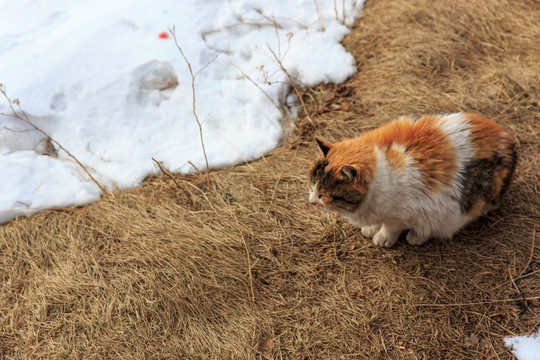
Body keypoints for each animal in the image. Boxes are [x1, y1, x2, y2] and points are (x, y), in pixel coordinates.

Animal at [308, 113, 516, 248]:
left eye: (323, 195)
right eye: (311, 186)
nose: (311, 202)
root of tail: (509, 140)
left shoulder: (402, 214)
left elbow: (390, 227)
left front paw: (383, 238)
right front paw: (371, 228)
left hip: (458, 208)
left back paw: (417, 236)